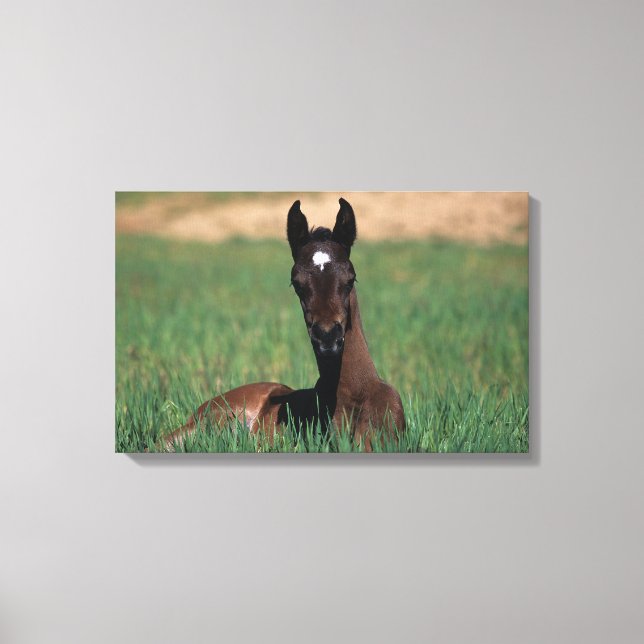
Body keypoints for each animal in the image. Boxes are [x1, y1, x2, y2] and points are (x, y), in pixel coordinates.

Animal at [159, 197, 405, 452]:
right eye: (296, 283)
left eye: (350, 279)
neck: (357, 394)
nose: (327, 338)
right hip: (207, 426)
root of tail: (202, 407)